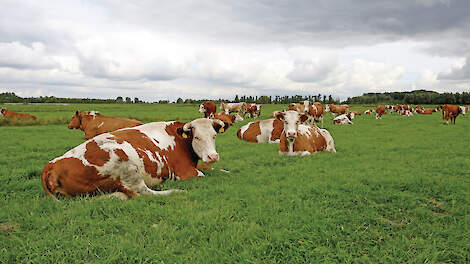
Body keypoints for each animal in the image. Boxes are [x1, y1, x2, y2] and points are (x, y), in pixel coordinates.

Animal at [41, 118, 229, 200]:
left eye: (214, 136)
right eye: (197, 137)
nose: (213, 156)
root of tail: (51, 165)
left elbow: (212, 169)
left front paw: (225, 170)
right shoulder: (185, 172)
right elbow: (203, 174)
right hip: (127, 167)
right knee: (144, 194)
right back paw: (176, 191)